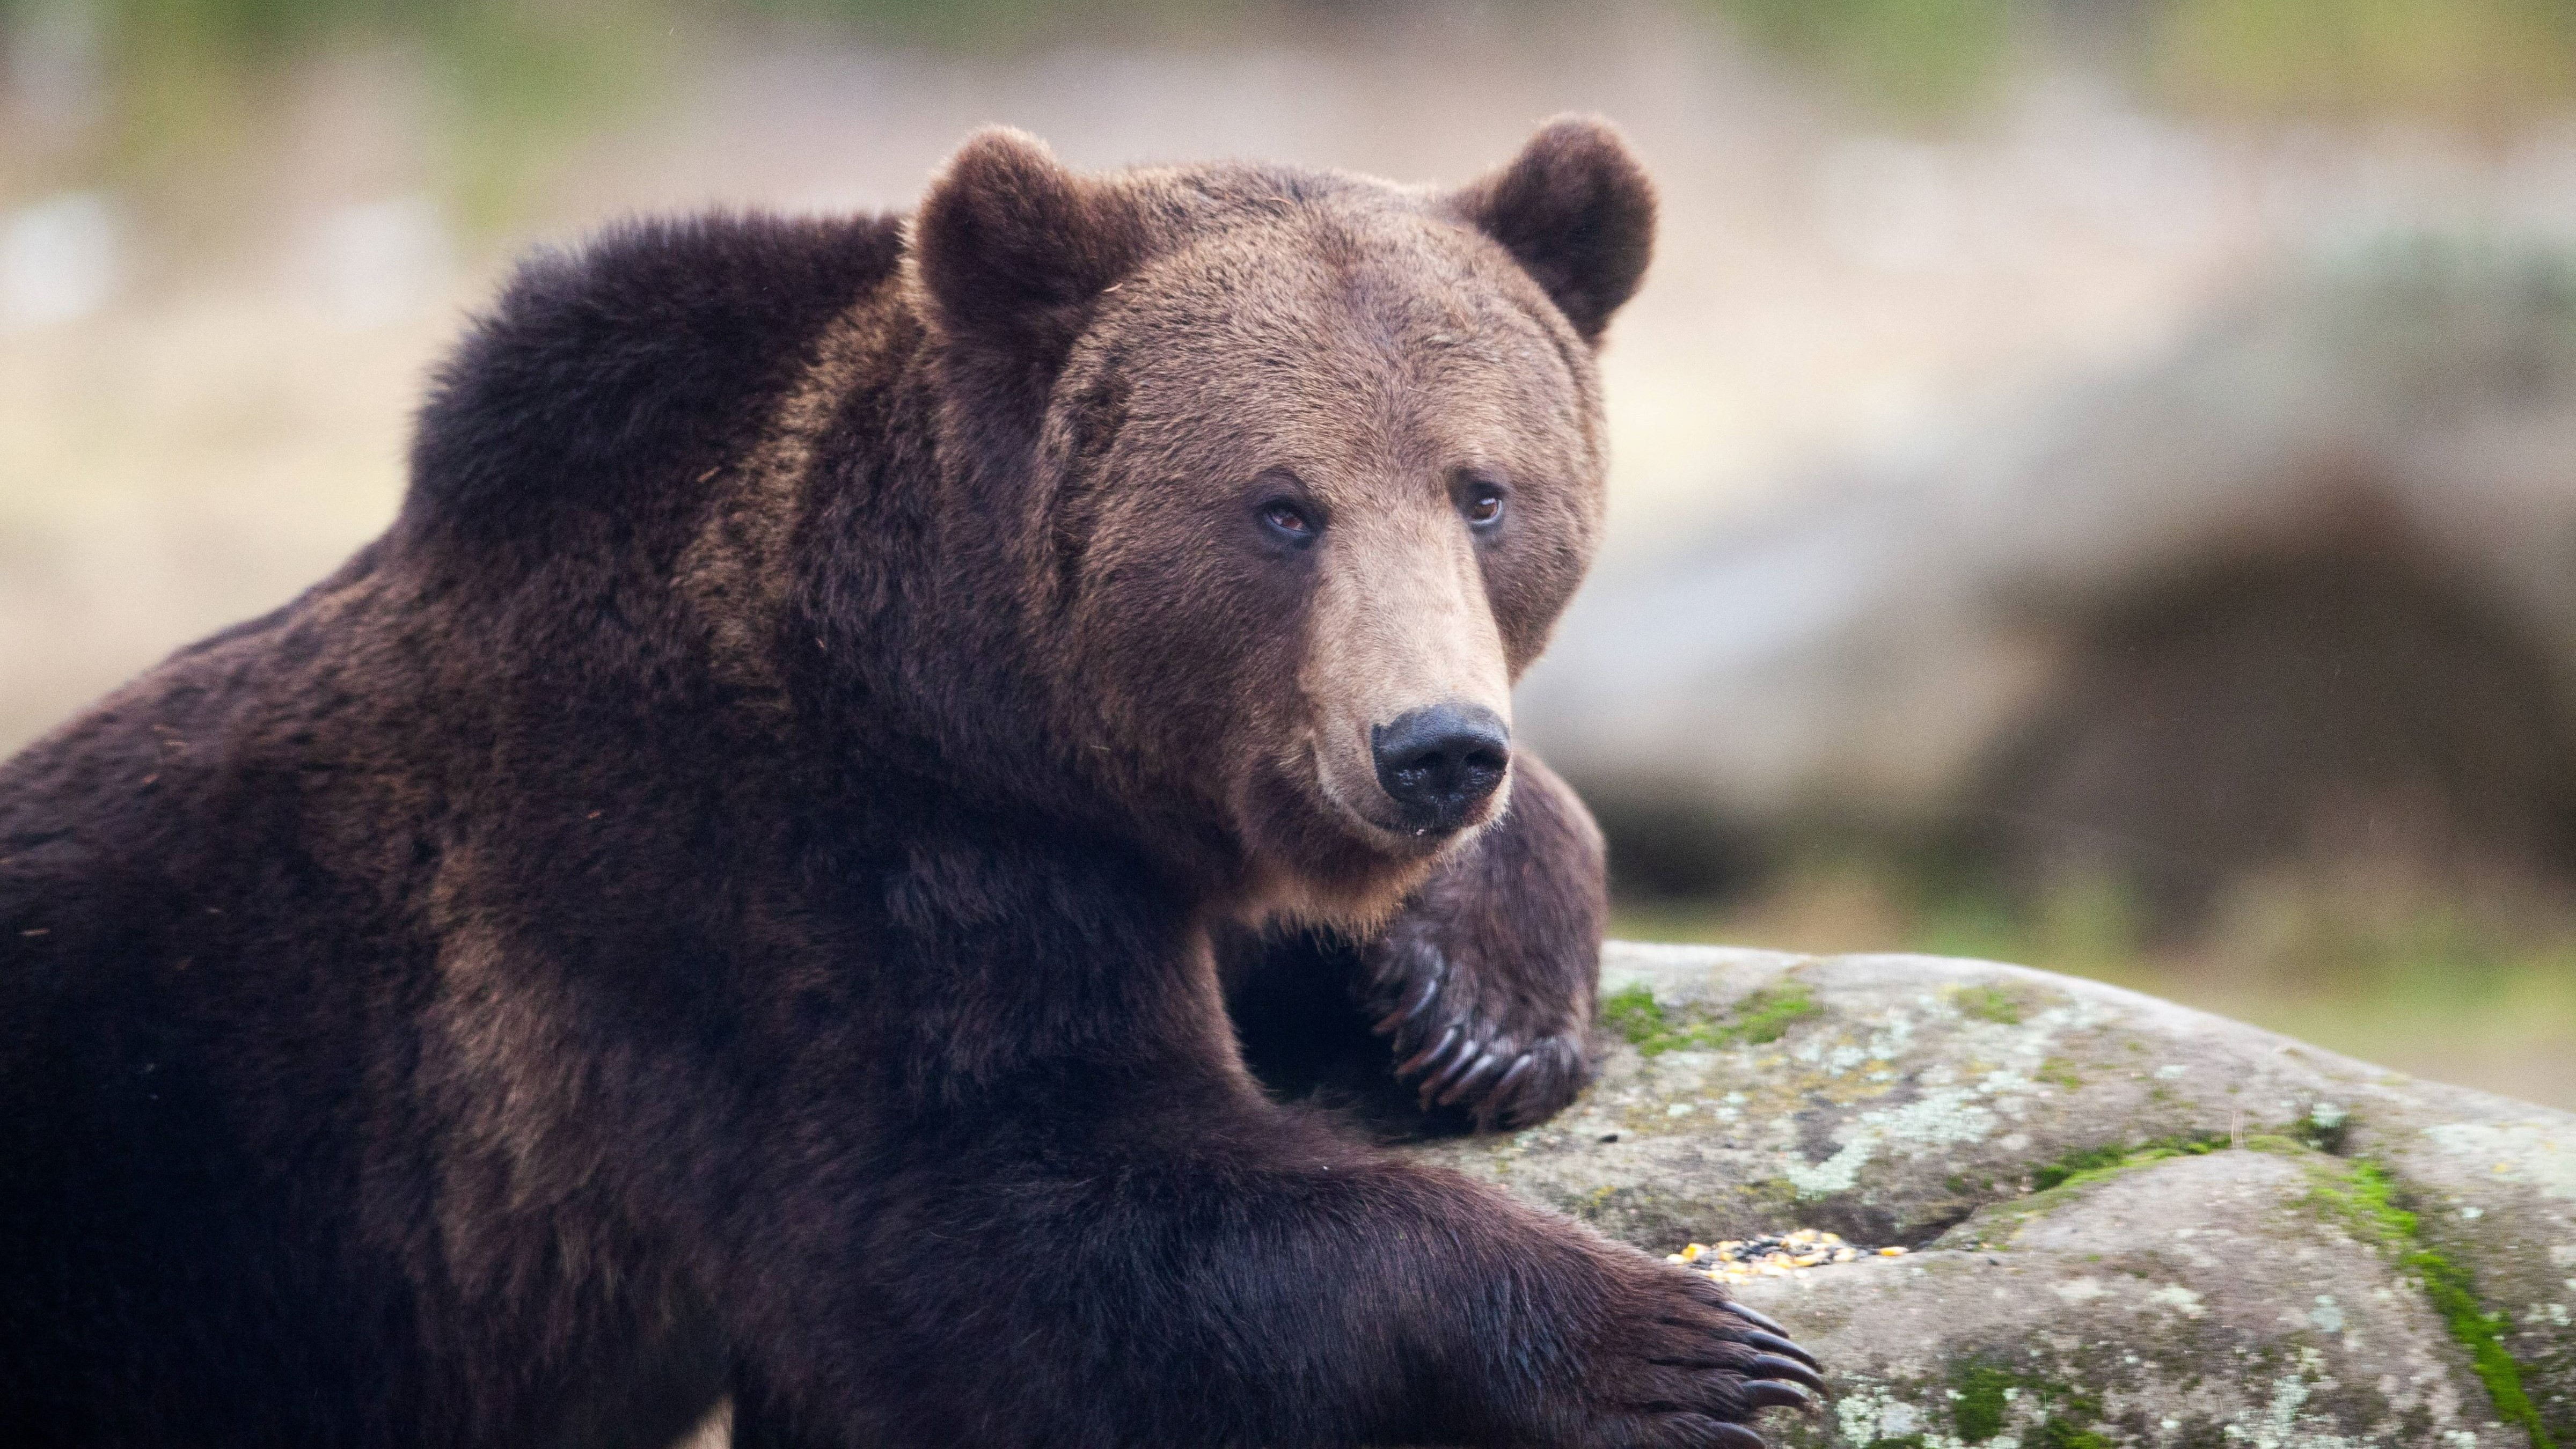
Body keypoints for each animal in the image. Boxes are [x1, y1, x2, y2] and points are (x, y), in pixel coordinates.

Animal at [0, 118, 1824, 1433]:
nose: (1432, 748)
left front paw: (1475, 1004)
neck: (964, 695)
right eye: (1281, 506)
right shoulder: (758, 875)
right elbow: (996, 1222)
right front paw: (1681, 1339)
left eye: (1484, 491)